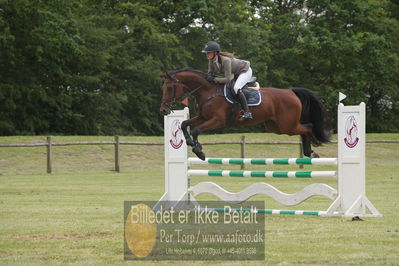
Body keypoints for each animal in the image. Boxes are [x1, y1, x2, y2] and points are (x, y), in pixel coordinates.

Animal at [159, 67, 332, 161]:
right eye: (163, 88)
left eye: (169, 88)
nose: (163, 110)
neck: (208, 91)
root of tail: (291, 92)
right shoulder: (203, 117)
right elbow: (184, 124)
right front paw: (190, 142)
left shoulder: (217, 120)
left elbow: (195, 130)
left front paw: (199, 151)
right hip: (276, 127)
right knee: (304, 128)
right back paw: (309, 152)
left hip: (287, 126)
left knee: (308, 127)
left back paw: (312, 150)